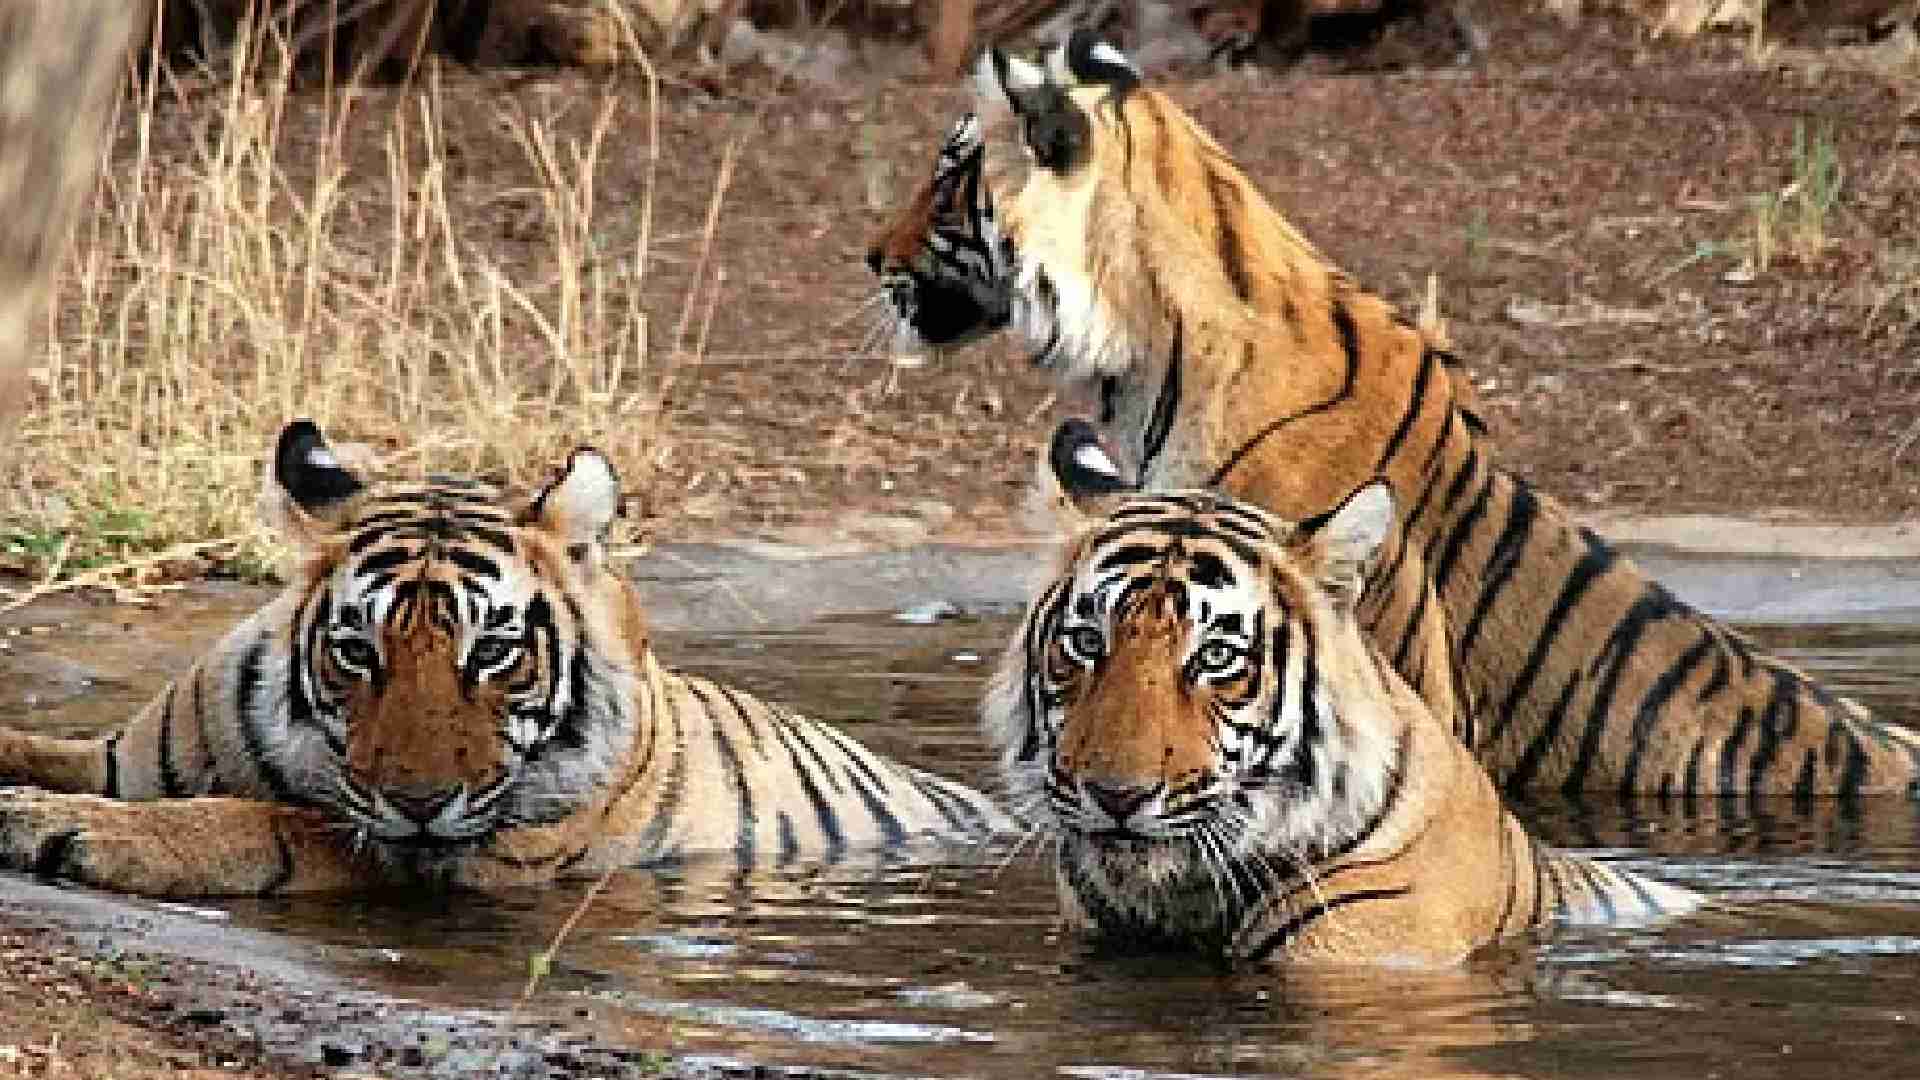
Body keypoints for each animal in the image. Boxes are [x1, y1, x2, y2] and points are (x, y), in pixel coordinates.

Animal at [0, 420, 1007, 897]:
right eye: (357, 651)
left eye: (492, 651)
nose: (418, 803)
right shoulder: (118, 757)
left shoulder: (444, 857)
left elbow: (267, 823)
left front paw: (59, 826)